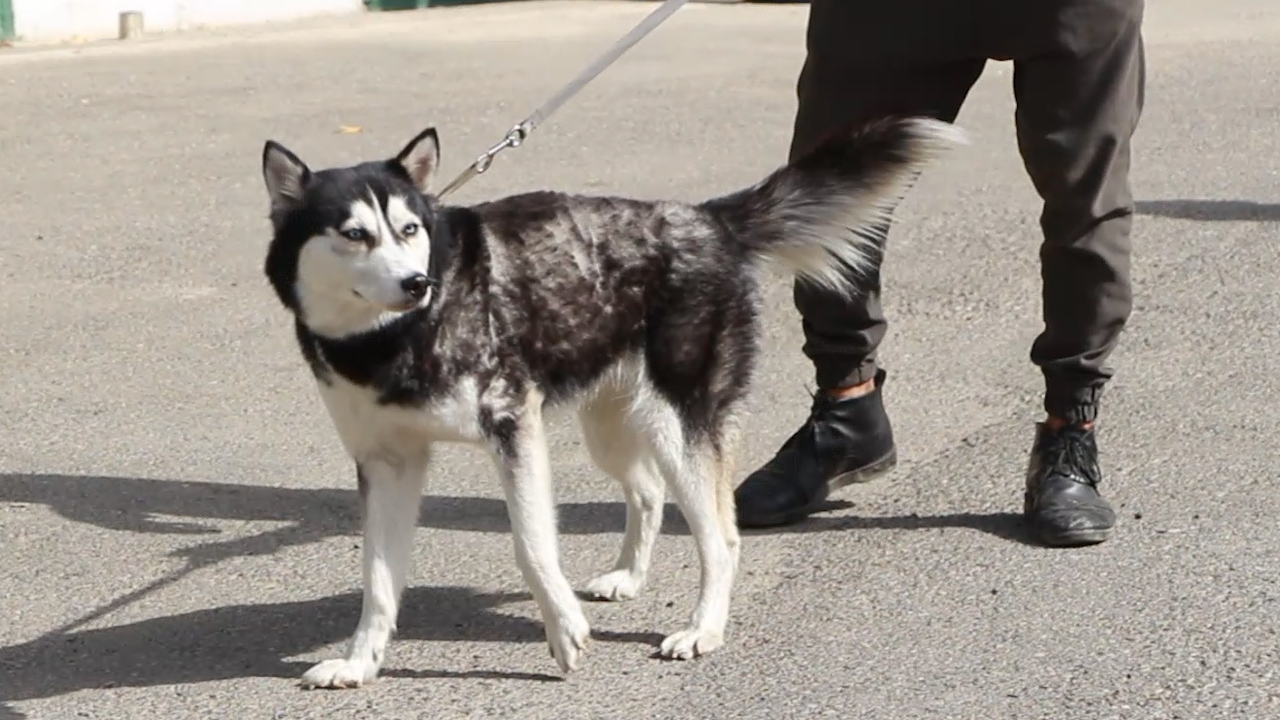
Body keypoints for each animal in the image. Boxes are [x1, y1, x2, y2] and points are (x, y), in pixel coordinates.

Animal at [257, 114, 962, 686]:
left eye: (408, 229)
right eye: (354, 234)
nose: (417, 282)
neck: (396, 336)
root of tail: (706, 217)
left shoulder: (513, 428)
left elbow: (532, 544)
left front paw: (563, 630)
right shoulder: (388, 464)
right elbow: (377, 581)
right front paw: (359, 663)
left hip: (680, 424)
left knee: (721, 536)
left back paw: (704, 627)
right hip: (611, 426)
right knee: (647, 492)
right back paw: (630, 575)